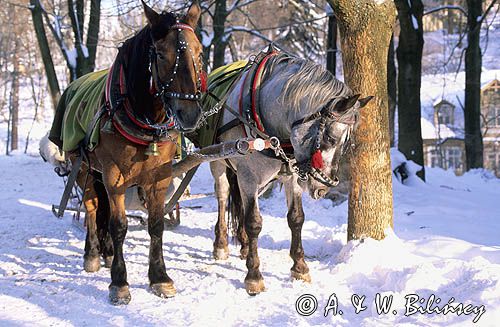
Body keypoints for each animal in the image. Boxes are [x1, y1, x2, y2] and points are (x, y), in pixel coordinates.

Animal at [47, 1, 203, 306]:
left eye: (200, 51)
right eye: (161, 54)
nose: (190, 114)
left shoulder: (159, 177)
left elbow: (156, 225)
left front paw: (160, 277)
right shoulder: (114, 175)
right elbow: (118, 225)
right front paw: (119, 282)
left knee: (102, 209)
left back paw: (106, 253)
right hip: (84, 168)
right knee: (93, 208)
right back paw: (93, 254)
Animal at [202, 52, 372, 296]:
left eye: (347, 145)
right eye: (331, 138)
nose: (323, 188)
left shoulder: (292, 177)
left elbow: (296, 219)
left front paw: (300, 267)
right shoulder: (248, 177)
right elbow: (254, 222)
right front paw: (254, 276)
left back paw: (244, 245)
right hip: (218, 163)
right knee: (223, 196)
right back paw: (221, 244)